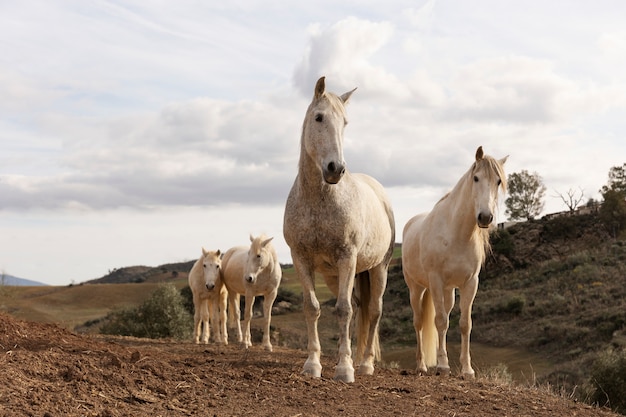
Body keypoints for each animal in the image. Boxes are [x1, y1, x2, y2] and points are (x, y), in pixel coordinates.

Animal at [284, 76, 394, 382]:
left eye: (345, 122)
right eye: (319, 117)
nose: (336, 169)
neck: (318, 202)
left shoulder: (347, 257)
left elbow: (343, 310)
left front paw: (344, 370)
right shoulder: (301, 258)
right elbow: (313, 308)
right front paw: (313, 364)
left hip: (378, 268)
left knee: (373, 310)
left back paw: (365, 364)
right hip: (335, 275)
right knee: (359, 307)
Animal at [400, 145, 508, 376]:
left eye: (498, 181)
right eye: (476, 178)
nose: (485, 217)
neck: (456, 233)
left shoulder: (470, 283)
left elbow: (464, 323)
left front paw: (467, 370)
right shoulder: (436, 281)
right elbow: (440, 322)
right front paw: (443, 366)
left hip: (448, 290)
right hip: (416, 288)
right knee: (419, 322)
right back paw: (422, 366)